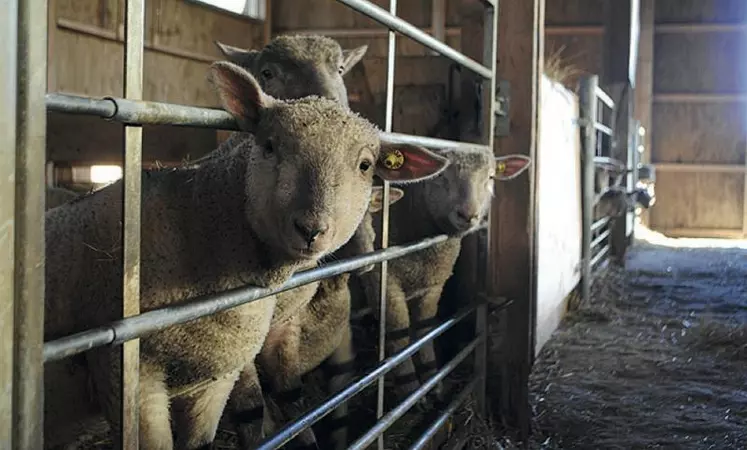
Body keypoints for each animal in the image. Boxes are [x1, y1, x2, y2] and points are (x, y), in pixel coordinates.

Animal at [356, 148, 532, 404]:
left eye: (490, 177)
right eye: (440, 176)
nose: (468, 215)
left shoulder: (434, 284)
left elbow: (425, 329)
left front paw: (433, 382)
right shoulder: (382, 280)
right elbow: (398, 334)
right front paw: (409, 390)